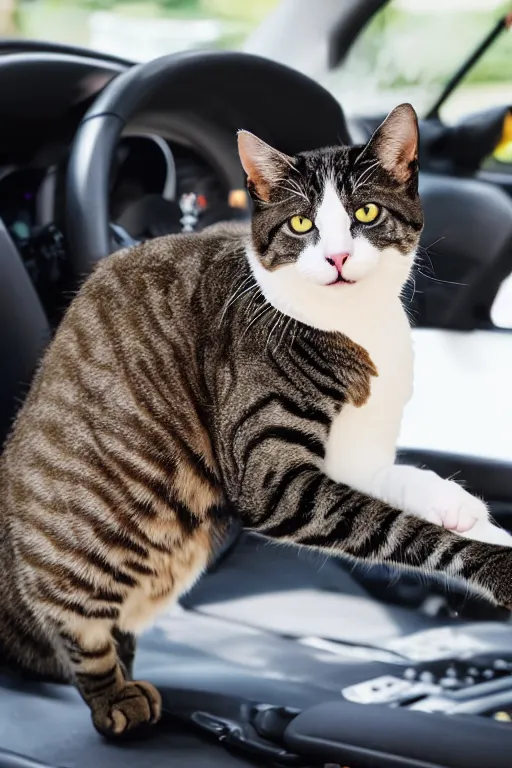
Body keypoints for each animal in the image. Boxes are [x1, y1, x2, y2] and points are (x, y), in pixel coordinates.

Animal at [1, 102, 512, 736]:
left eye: (365, 213)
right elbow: (396, 528)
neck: (356, 327)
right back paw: (115, 694)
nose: (337, 257)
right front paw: (496, 563)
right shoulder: (273, 477)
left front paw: (467, 511)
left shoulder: (356, 458)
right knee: (78, 628)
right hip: (83, 550)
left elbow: (405, 487)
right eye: (300, 224)